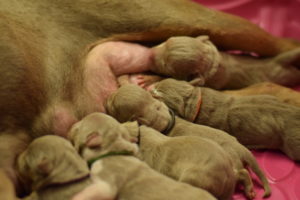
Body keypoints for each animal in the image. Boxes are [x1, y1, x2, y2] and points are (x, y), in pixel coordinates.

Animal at [105, 84, 270, 198]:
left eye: (113, 104)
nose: (107, 96)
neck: (168, 121)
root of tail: (240, 148)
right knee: (242, 173)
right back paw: (250, 190)